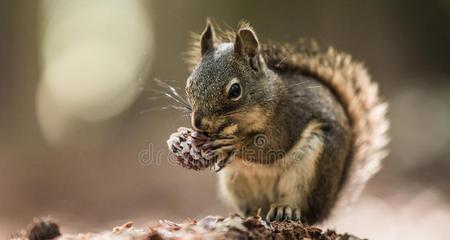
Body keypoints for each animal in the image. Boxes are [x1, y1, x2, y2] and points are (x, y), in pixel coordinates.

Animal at [181, 19, 388, 224]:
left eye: (235, 90)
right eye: (189, 84)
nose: (199, 123)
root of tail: (326, 208)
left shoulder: (288, 117)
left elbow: (272, 146)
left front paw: (234, 144)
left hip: (310, 171)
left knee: (303, 210)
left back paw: (285, 209)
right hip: (236, 183)